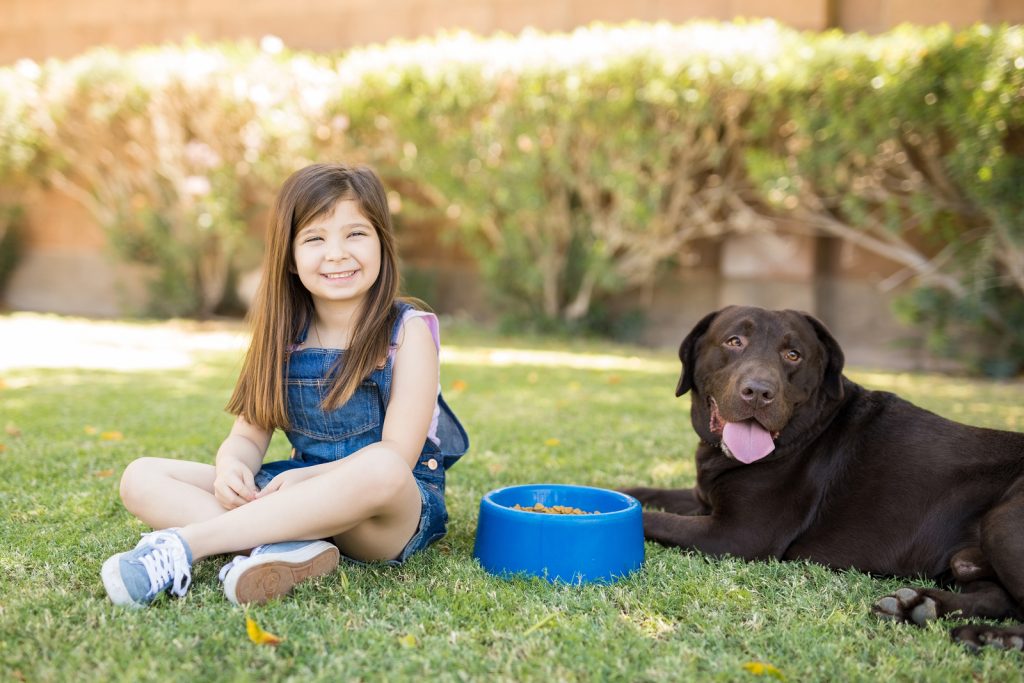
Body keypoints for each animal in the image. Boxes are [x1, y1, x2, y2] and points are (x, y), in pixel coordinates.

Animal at [618, 307, 1024, 651]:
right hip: (970, 558)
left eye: (793, 355)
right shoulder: (703, 499)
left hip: (1004, 523)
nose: (759, 392)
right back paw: (923, 607)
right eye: (734, 342)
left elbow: (650, 517)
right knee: (996, 596)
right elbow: (640, 492)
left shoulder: (737, 534)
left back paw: (993, 638)